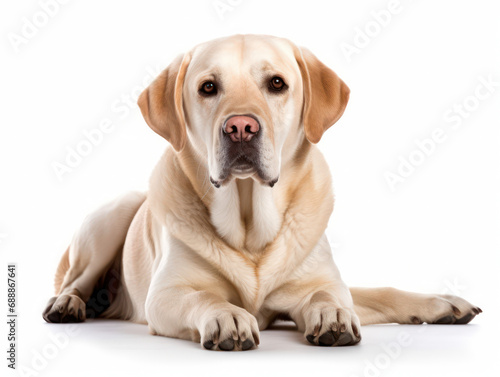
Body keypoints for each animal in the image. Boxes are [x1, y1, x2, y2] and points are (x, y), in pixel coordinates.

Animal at [43, 35, 480, 350]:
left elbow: (355, 293)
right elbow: (203, 298)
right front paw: (229, 316)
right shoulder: (164, 296)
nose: (240, 128)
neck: (250, 223)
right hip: (110, 218)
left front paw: (342, 313)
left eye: (276, 84)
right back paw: (67, 304)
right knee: (74, 280)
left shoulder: (321, 281)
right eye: (208, 87)